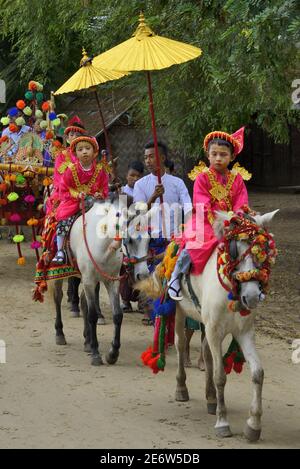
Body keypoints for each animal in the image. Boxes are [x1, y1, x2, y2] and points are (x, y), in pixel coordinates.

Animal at [136, 210, 278, 440]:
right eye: (234, 249)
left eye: (263, 250)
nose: (251, 296)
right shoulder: (214, 330)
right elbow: (220, 376)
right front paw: (222, 422)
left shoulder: (243, 332)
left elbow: (258, 373)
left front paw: (253, 425)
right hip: (180, 312)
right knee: (180, 344)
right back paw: (182, 388)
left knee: (206, 352)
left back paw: (211, 398)